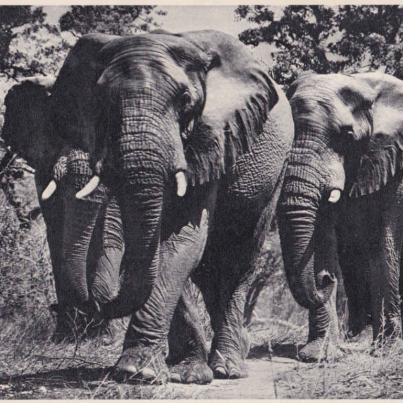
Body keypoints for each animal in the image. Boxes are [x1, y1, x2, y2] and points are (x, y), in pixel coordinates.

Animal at [38, 30, 294, 384]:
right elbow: (161, 248)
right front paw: (182, 373)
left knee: (237, 259)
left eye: (185, 101)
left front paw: (136, 372)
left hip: (275, 172)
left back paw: (229, 368)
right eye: (101, 101)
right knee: (208, 270)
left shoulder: (210, 137)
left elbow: (184, 239)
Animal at [280, 72, 403, 362]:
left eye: (346, 135)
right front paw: (318, 356)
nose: (326, 279)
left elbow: (388, 238)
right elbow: (322, 236)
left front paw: (387, 352)